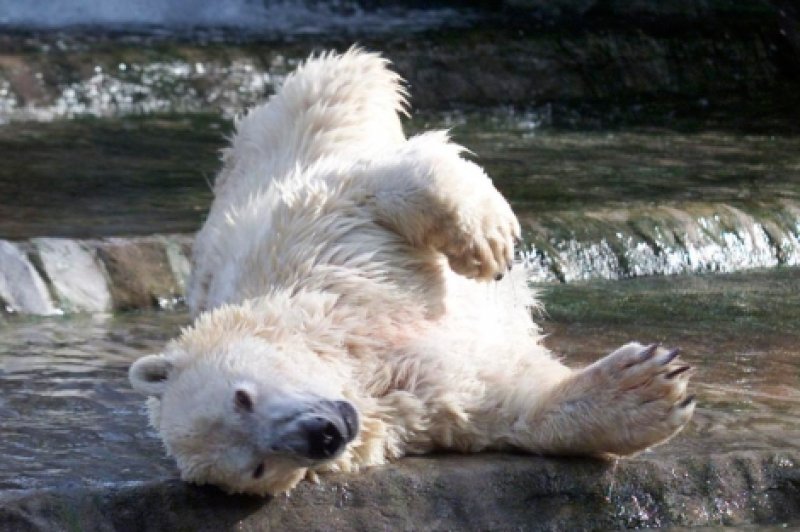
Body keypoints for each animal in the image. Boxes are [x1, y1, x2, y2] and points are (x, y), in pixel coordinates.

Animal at [130, 47, 692, 496]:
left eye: (241, 398)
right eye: (257, 468)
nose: (321, 436)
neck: (351, 351)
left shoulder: (312, 242)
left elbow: (375, 189)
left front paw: (488, 242)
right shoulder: (425, 405)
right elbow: (509, 404)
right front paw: (647, 388)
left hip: (296, 123)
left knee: (344, 81)